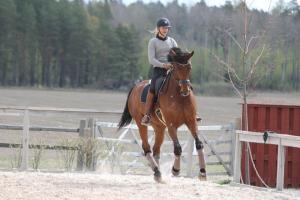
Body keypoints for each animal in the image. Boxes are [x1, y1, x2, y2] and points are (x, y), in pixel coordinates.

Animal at [117, 47, 206, 182]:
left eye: (189, 67)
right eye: (176, 67)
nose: (185, 90)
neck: (179, 96)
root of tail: (136, 86)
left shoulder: (191, 121)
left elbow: (199, 144)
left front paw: (202, 172)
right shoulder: (171, 125)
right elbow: (177, 148)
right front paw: (175, 170)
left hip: (159, 127)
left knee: (156, 150)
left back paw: (158, 174)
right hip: (141, 124)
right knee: (147, 148)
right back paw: (157, 171)